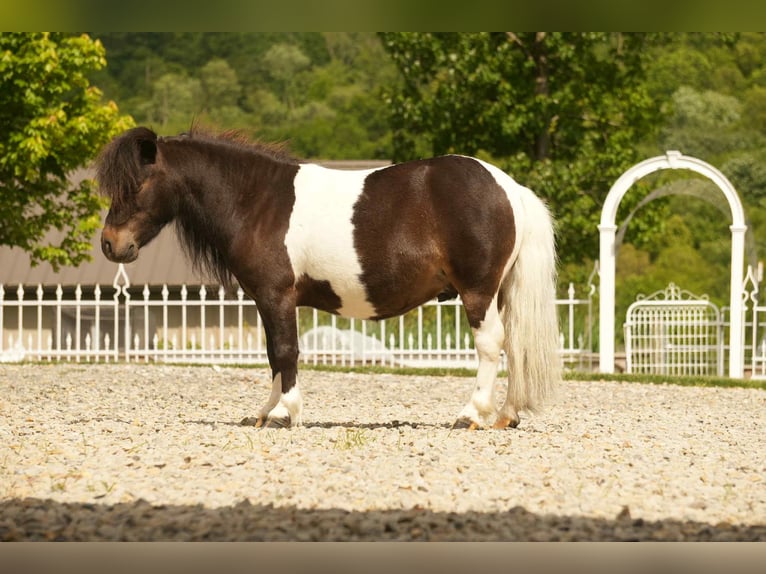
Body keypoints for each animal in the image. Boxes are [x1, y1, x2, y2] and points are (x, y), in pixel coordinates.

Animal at [96, 126, 560, 429]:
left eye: (135, 185)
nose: (110, 244)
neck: (258, 202)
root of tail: (510, 188)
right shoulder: (267, 301)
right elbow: (274, 356)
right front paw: (267, 413)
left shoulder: (277, 295)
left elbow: (286, 352)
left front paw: (287, 413)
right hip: (499, 292)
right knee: (514, 346)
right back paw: (506, 416)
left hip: (477, 291)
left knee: (490, 344)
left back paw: (472, 414)